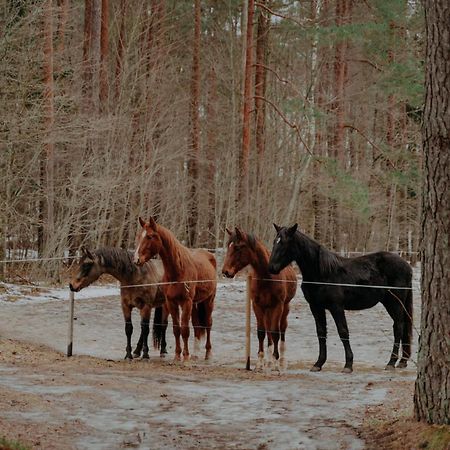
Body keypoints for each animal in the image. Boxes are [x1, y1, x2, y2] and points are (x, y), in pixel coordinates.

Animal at [133, 218, 217, 362]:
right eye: (138, 236)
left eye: (149, 236)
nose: (136, 259)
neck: (178, 270)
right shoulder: (171, 302)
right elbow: (177, 329)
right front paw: (178, 355)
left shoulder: (186, 302)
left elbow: (185, 330)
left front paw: (186, 356)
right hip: (195, 304)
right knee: (196, 325)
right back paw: (195, 353)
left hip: (208, 301)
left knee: (208, 324)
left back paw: (208, 353)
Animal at [221, 227, 298, 370]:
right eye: (228, 246)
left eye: (238, 247)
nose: (225, 272)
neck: (266, 276)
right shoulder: (257, 305)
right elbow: (261, 332)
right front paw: (260, 363)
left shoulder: (277, 306)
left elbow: (275, 332)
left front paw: (275, 363)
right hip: (267, 310)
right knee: (268, 332)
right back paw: (269, 360)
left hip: (285, 308)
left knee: (282, 329)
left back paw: (281, 361)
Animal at [268, 224, 414, 372]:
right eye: (275, 241)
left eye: (285, 243)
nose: (271, 268)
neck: (322, 273)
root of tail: (407, 266)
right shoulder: (316, 307)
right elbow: (321, 333)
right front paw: (318, 363)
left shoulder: (336, 307)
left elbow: (343, 332)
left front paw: (348, 365)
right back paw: (402, 361)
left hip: (394, 303)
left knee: (398, 327)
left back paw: (391, 362)